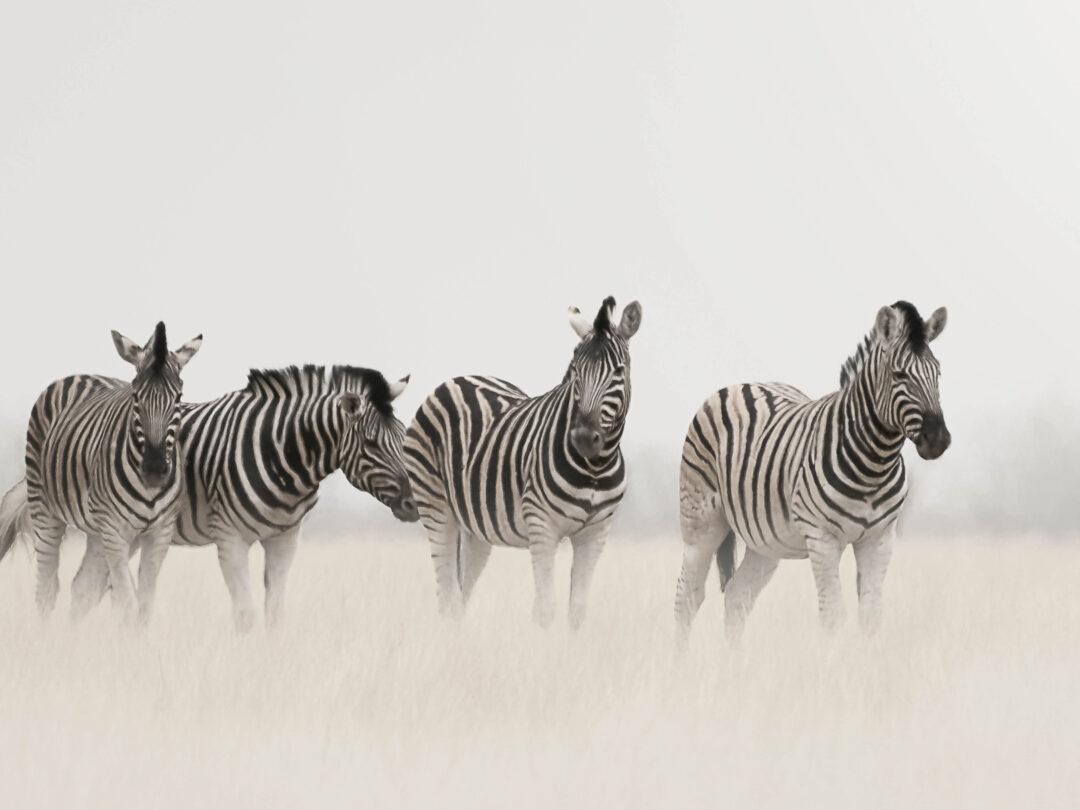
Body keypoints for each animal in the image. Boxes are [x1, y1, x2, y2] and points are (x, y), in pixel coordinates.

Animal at [10, 323, 202, 622]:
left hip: (96, 529)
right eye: (136, 397)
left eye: (178, 398)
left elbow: (144, 606)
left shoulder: (160, 532)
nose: (154, 469)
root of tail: (83, 374)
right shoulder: (114, 528)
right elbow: (128, 603)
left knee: (82, 586)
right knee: (46, 588)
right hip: (45, 509)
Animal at [46, 364, 418, 631]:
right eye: (371, 443)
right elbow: (245, 614)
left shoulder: (285, 538)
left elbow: (275, 613)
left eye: (402, 435)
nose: (414, 504)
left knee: (83, 588)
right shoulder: (230, 537)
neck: (283, 457)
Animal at [404, 296, 642, 628]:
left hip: (475, 528)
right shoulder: (541, 524)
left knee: (461, 596)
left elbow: (578, 609)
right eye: (575, 371)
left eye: (618, 372)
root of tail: (455, 380)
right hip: (435, 507)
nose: (583, 437)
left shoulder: (595, 532)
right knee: (448, 597)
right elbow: (545, 608)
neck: (594, 467)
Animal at [675, 301, 950, 643]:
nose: (938, 440)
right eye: (899, 374)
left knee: (738, 596)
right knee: (688, 597)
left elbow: (871, 615)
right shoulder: (822, 538)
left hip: (765, 541)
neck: (875, 463)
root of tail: (742, 385)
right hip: (700, 521)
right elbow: (833, 614)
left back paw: (737, 660)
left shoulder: (880, 538)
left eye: (938, 372)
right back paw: (680, 657)